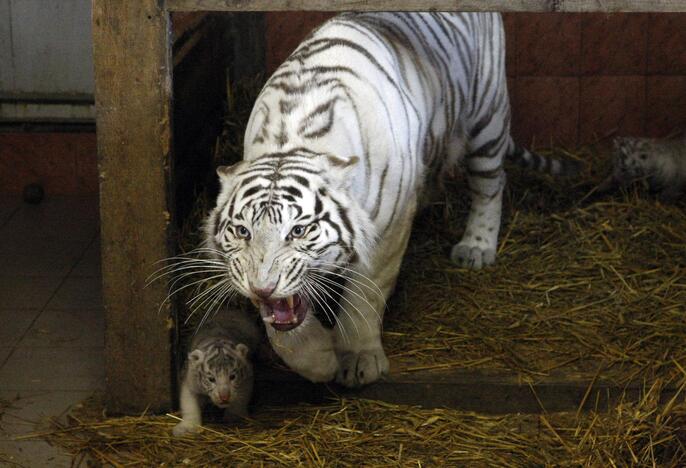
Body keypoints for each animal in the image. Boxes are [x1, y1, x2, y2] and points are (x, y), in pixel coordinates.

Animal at [203, 12, 576, 388]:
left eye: (298, 231)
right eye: (243, 232)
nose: (262, 288)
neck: (294, 141)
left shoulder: (387, 230)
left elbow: (365, 295)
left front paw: (358, 359)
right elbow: (283, 326)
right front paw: (317, 361)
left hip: (489, 116)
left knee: (491, 184)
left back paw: (477, 246)